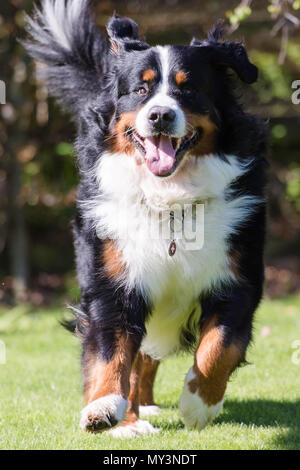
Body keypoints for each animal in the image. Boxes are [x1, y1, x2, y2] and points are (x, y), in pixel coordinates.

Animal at [25, 0, 268, 438]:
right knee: (138, 357)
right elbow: (113, 350)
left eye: (188, 89)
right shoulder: (114, 282)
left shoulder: (237, 278)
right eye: (141, 89)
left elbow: (219, 347)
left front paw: (199, 403)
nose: (159, 116)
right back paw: (133, 417)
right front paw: (105, 408)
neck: (170, 200)